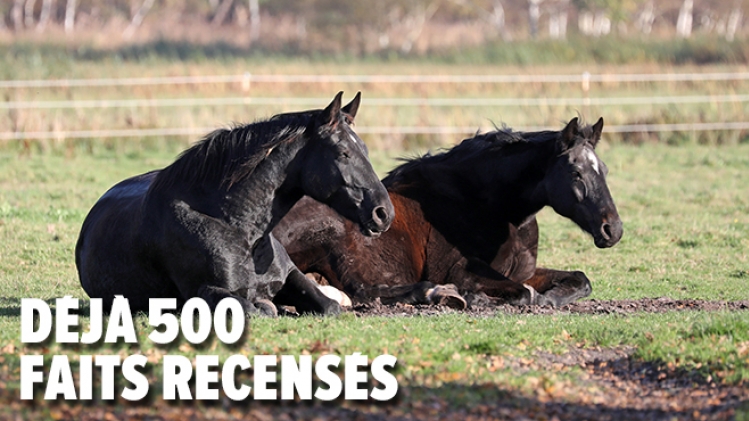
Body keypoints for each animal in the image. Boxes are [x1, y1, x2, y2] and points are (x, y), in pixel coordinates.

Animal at [75, 92, 394, 316]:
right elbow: (257, 308)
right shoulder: (207, 292)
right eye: (343, 153)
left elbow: (329, 305)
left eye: (364, 150)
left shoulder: (292, 276)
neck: (239, 227)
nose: (383, 213)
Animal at [273, 117, 623, 308]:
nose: (613, 230)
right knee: (360, 291)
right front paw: (478, 297)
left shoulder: (523, 272)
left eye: (604, 169)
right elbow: (524, 294)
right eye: (576, 173)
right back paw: (440, 293)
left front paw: (553, 297)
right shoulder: (464, 270)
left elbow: (580, 280)